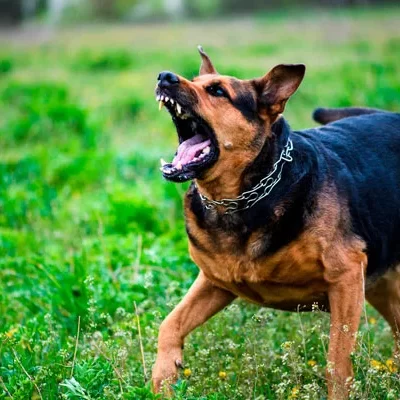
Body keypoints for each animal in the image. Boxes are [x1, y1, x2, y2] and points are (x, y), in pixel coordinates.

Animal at [152, 46, 400, 396]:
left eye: (217, 91)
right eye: (196, 81)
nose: (165, 76)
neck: (242, 196)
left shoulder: (346, 278)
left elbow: (338, 361)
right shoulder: (215, 282)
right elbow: (170, 324)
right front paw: (163, 377)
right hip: (382, 282)